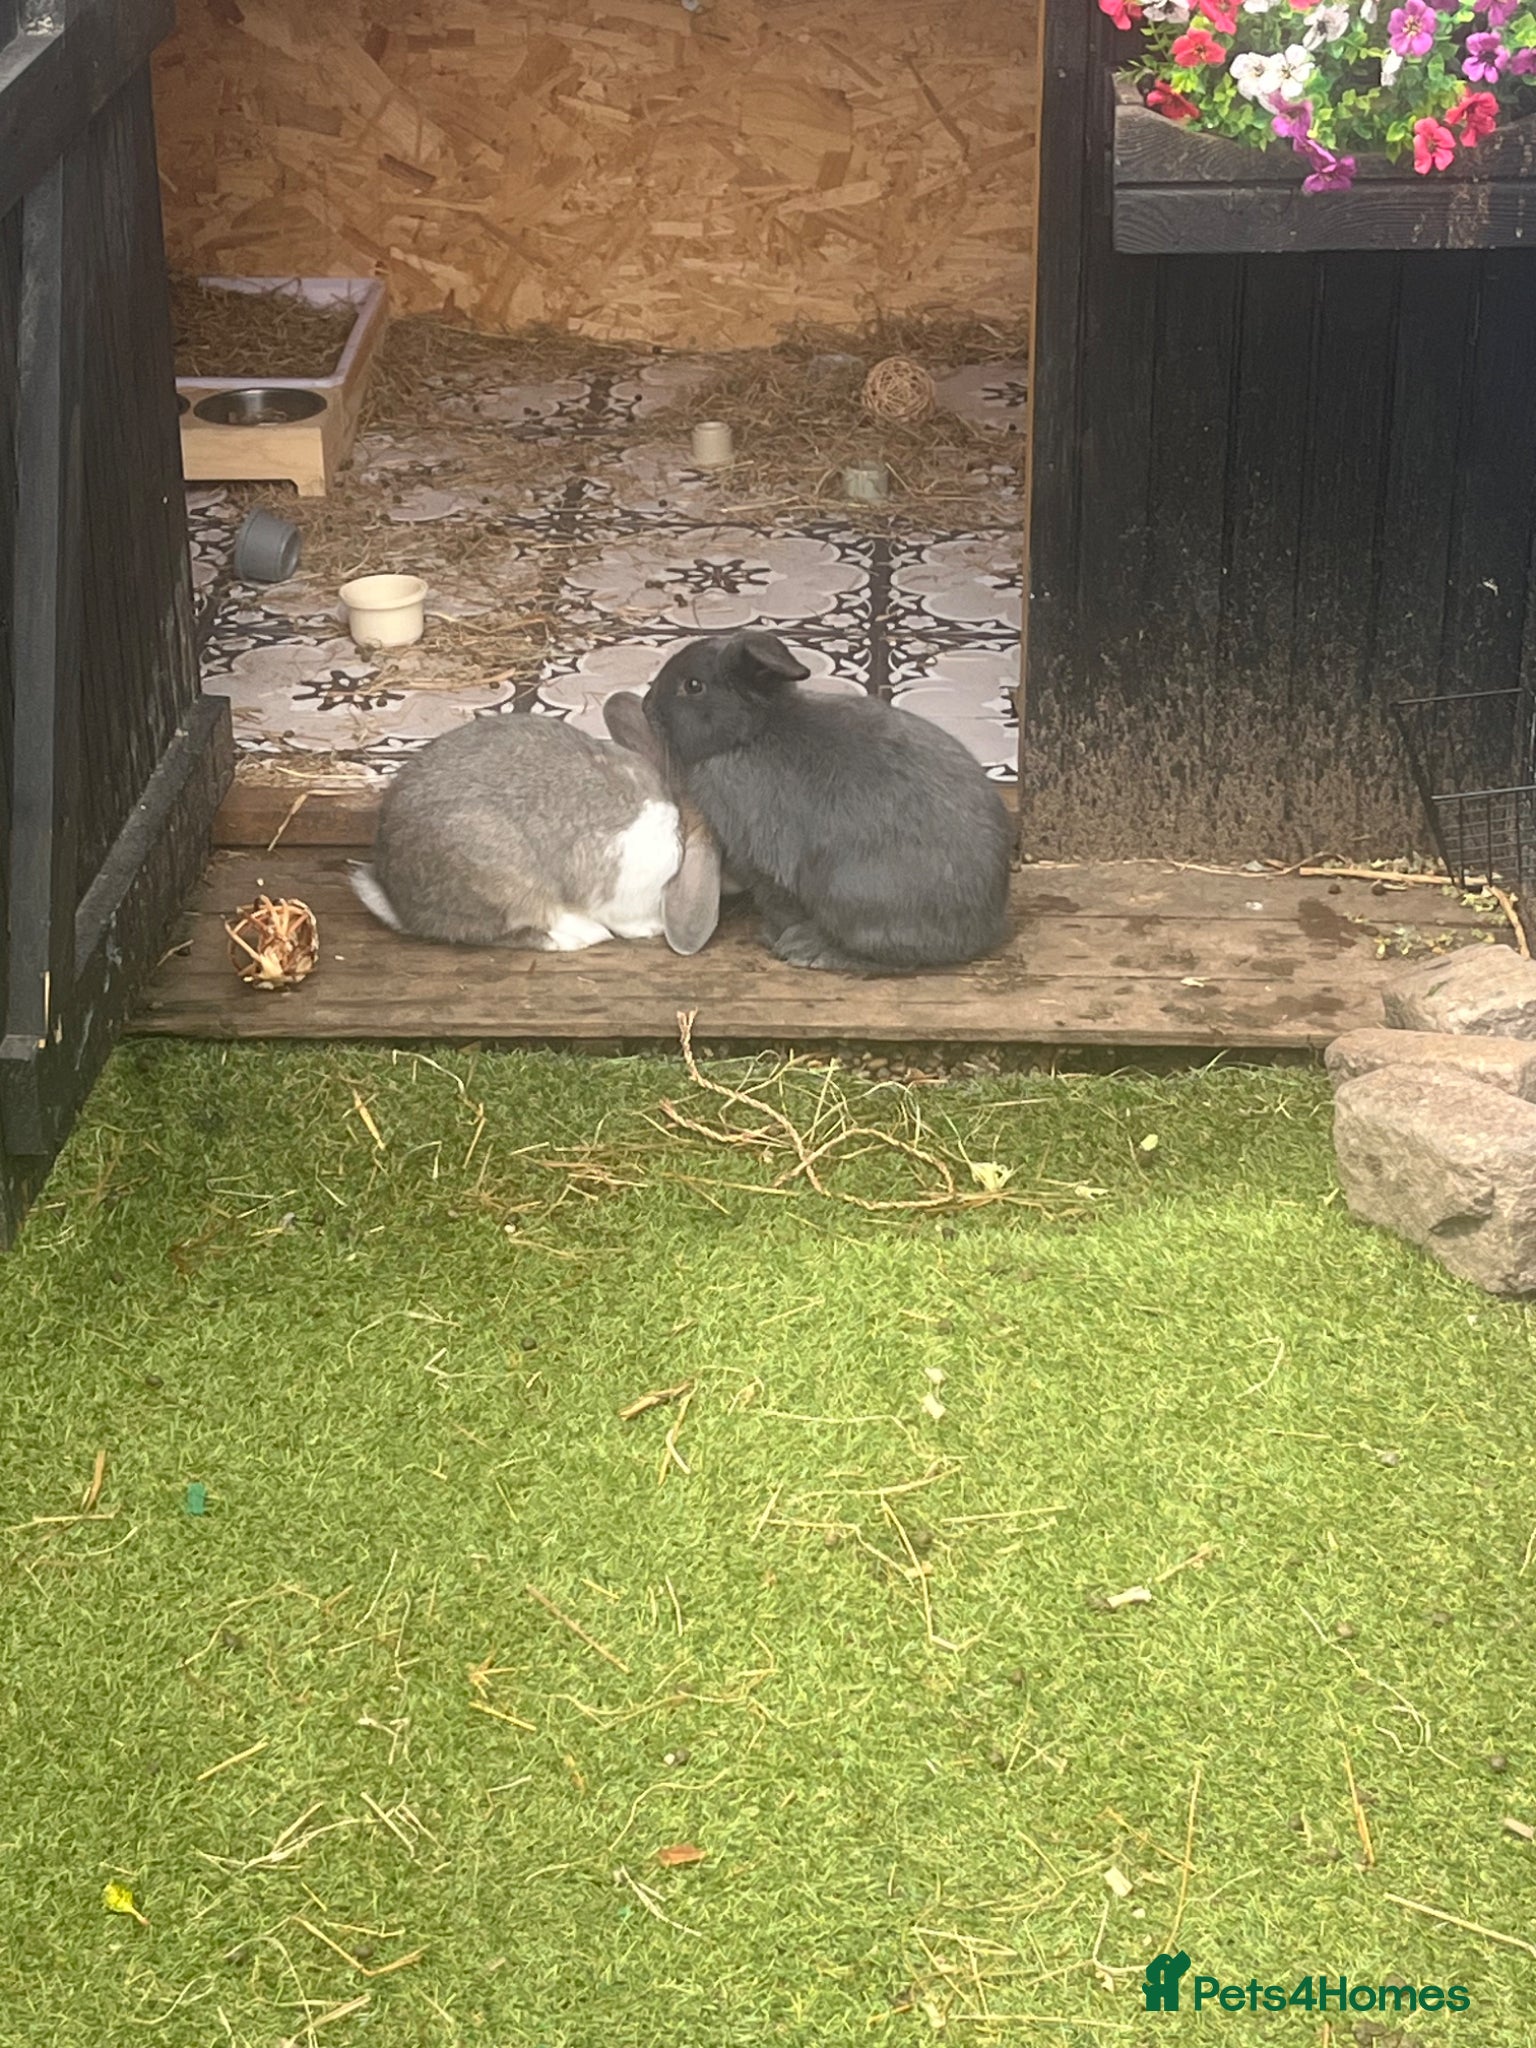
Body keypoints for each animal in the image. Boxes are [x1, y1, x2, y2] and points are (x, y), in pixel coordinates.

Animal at [348, 703, 722, 955]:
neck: (678, 815)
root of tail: (396, 899)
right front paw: (650, 928)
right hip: (501, 882)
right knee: (506, 931)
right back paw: (580, 936)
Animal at [642, 630, 1013, 974]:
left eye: (693, 686)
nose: (646, 706)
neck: (752, 734)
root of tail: (981, 927)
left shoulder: (764, 864)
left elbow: (777, 902)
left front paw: (774, 935)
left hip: (851, 896)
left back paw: (807, 948)